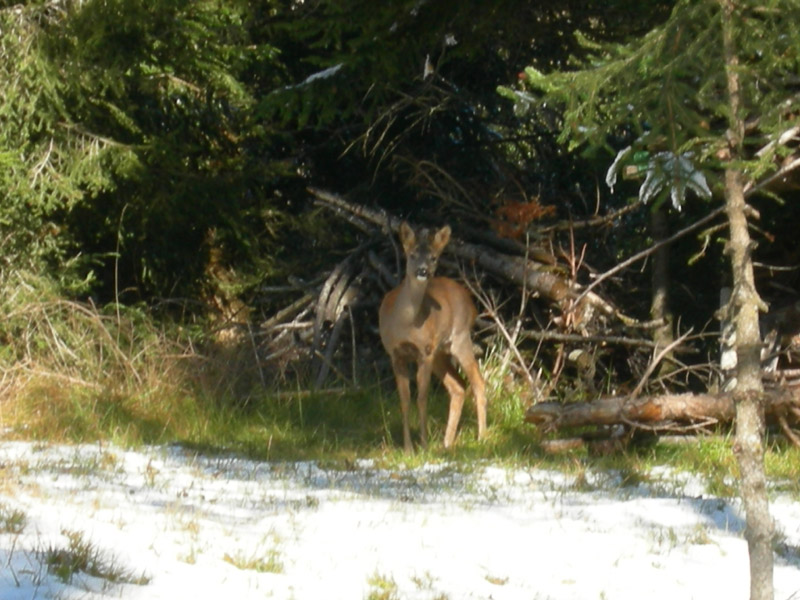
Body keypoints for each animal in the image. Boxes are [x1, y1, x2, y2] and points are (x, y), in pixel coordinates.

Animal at [380, 221, 488, 450]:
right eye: (412, 254)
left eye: (433, 258)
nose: (423, 271)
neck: (406, 324)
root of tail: (472, 303)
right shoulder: (395, 354)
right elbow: (404, 399)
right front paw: (408, 448)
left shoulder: (425, 352)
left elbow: (422, 398)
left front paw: (423, 445)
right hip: (440, 352)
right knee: (458, 387)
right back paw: (447, 442)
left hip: (459, 339)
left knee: (478, 381)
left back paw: (482, 437)